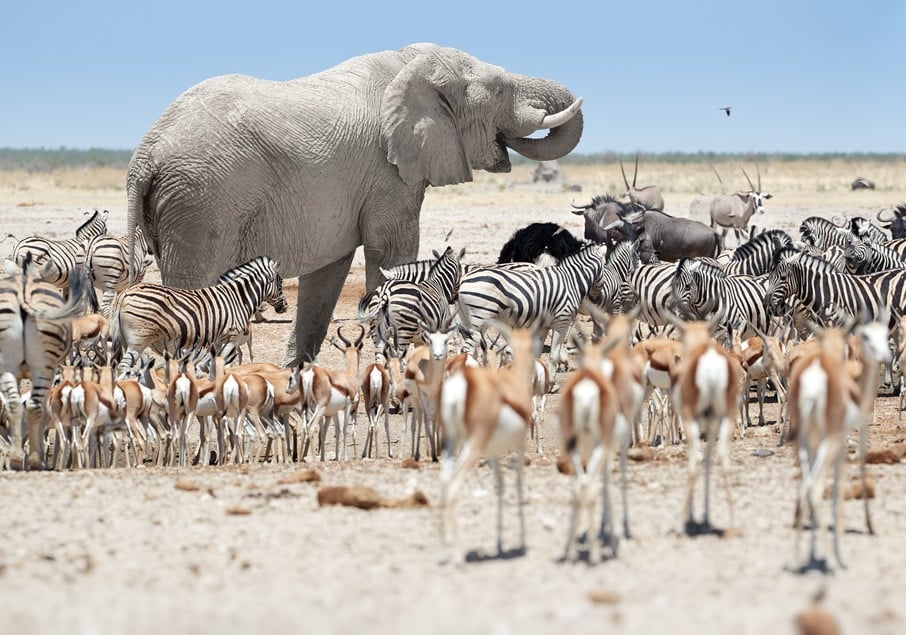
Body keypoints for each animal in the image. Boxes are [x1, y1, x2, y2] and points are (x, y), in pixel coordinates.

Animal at [0, 256, 90, 470]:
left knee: (14, 404)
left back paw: (17, 459)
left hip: (8, 362)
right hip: (43, 365)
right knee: (34, 406)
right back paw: (34, 461)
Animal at [109, 256, 286, 376]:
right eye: (281, 283)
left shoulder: (218, 340)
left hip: (127, 339)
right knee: (123, 366)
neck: (237, 298)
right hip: (138, 341)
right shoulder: (231, 337)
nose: (285, 307)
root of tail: (124, 294)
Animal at [125, 42, 580, 366]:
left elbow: (328, 272)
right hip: (199, 205)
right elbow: (392, 252)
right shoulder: (387, 175)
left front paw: (296, 379)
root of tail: (143, 157)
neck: (410, 62)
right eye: (501, 90)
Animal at [456, 245, 604, 372]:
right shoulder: (561, 319)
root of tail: (463, 280)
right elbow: (552, 353)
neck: (571, 280)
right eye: (604, 269)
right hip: (480, 318)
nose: (597, 298)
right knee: (467, 349)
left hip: (472, 320)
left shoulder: (545, 323)